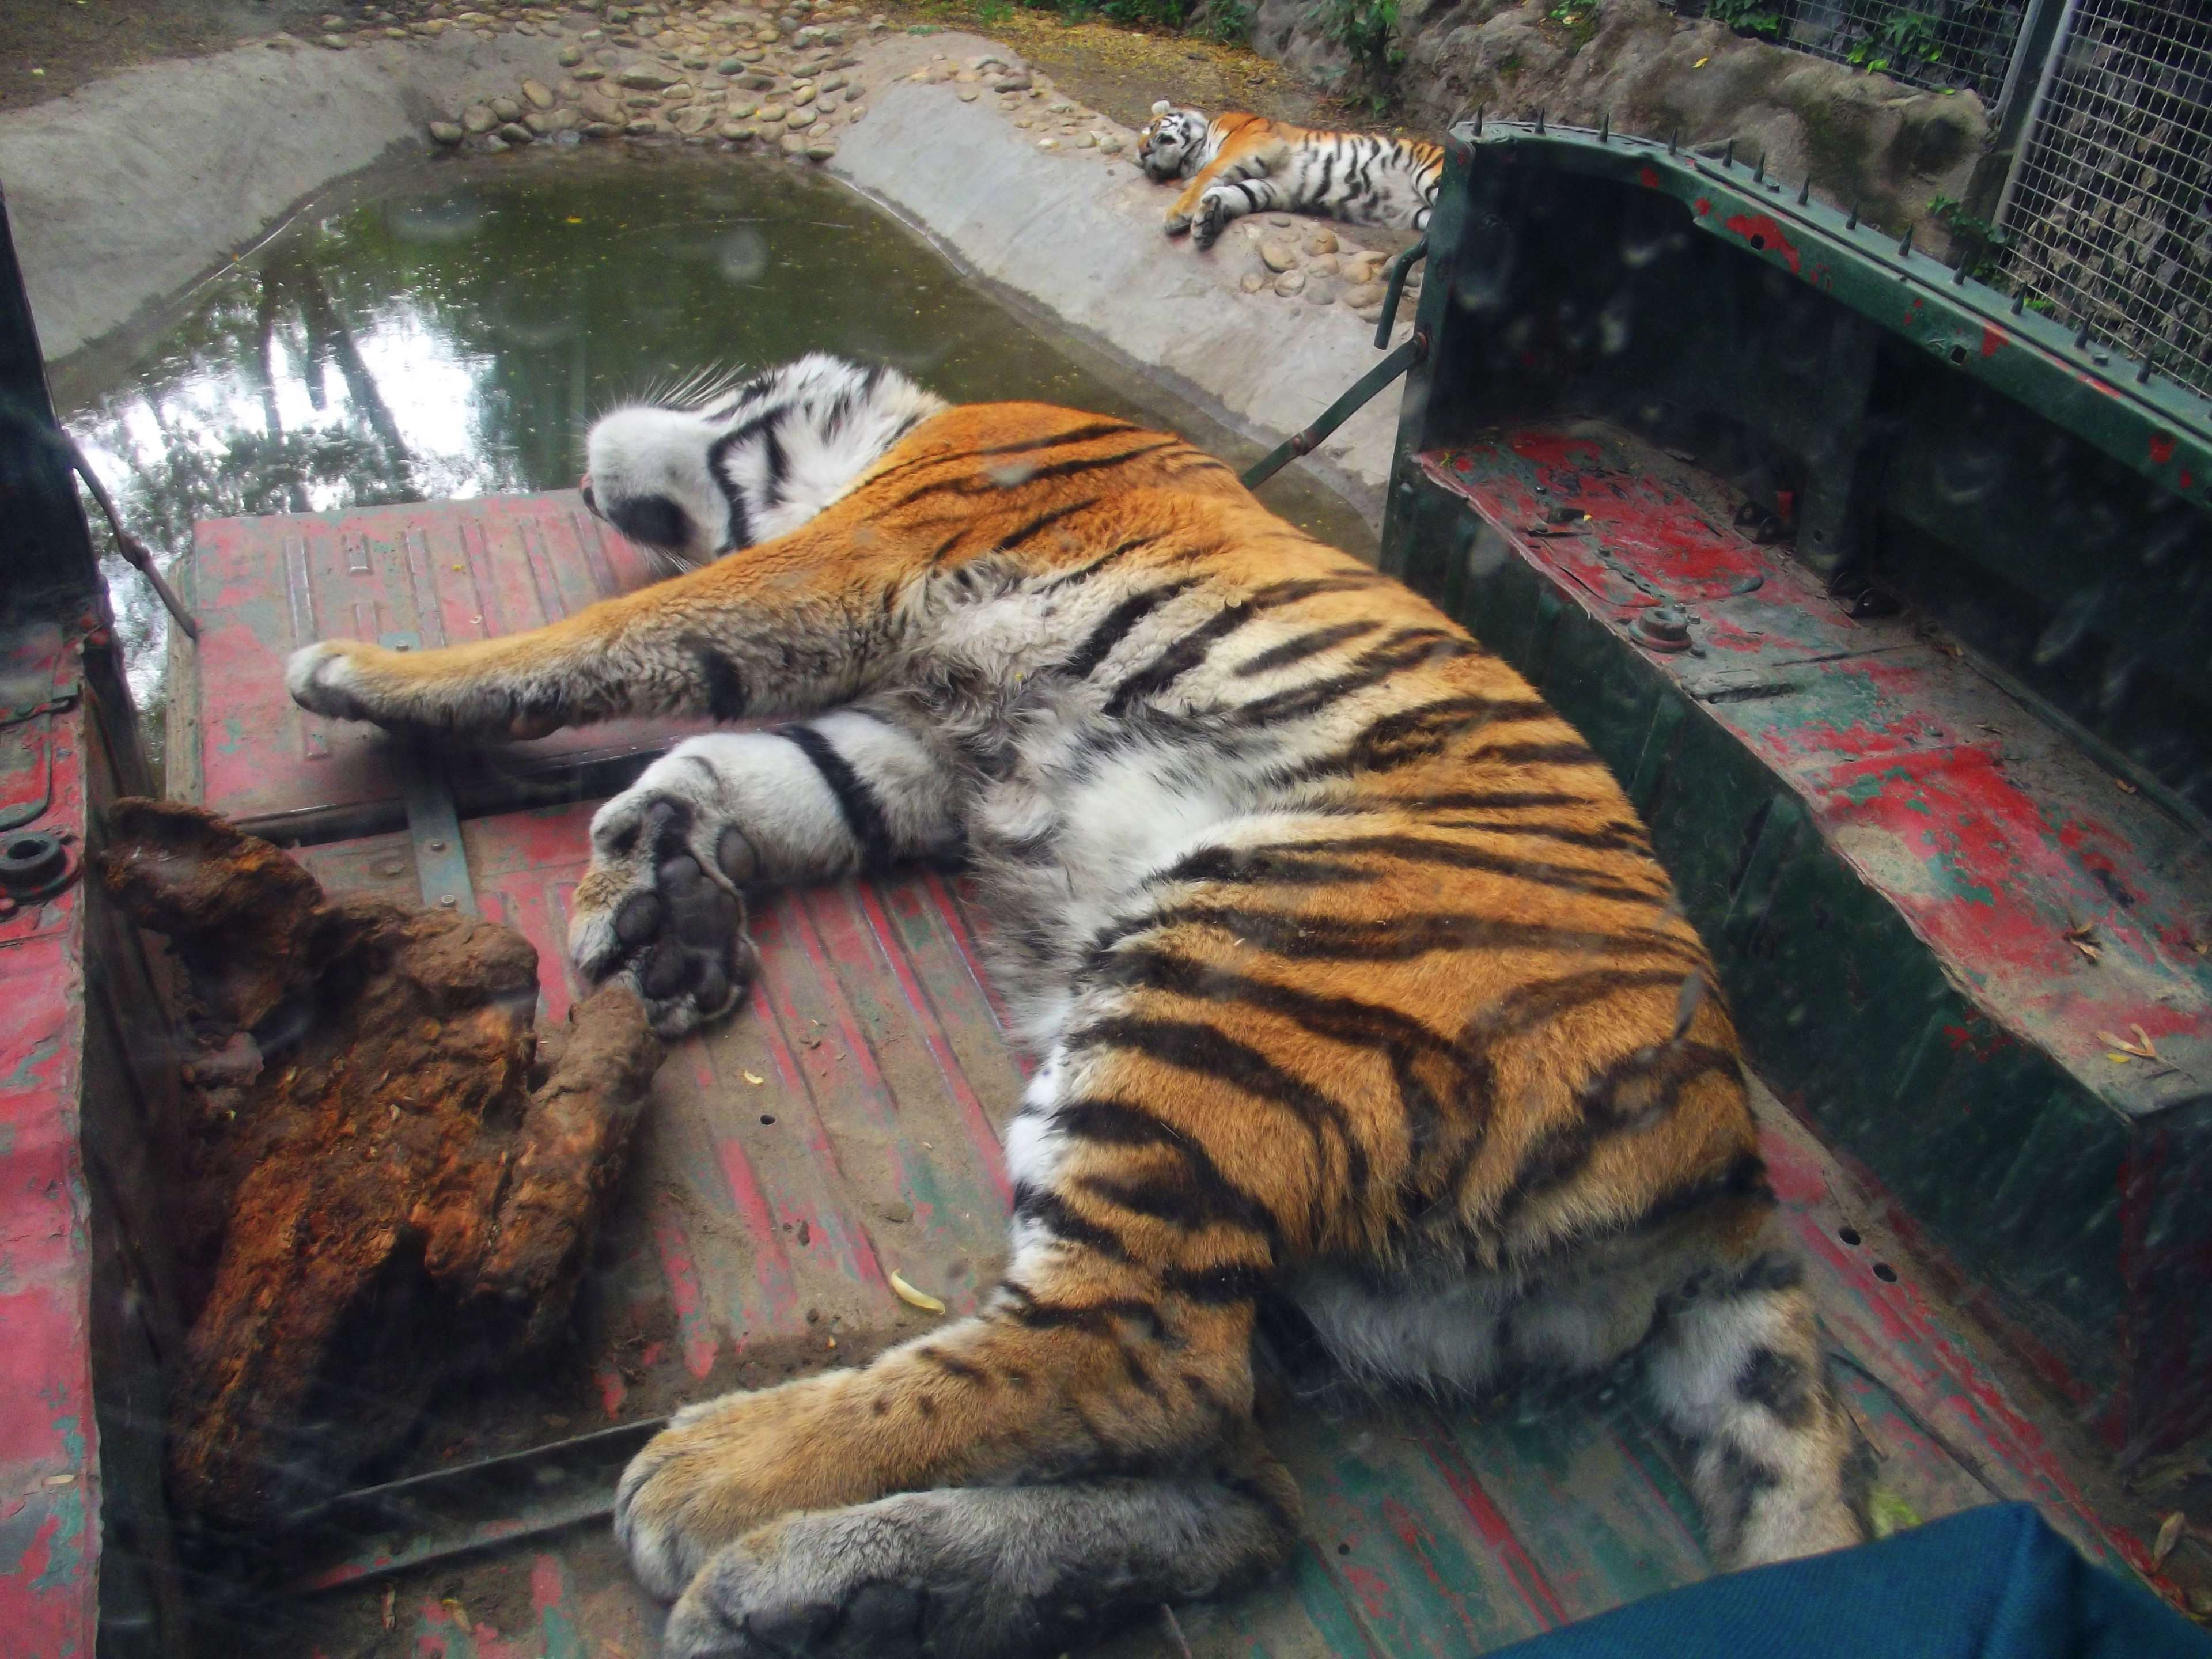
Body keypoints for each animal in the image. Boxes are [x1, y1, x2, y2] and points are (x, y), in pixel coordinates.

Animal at [287, 353, 1871, 1659]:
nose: (580, 465)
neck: (902, 429)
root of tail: (1731, 1162)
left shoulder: (855, 564)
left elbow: (623, 630)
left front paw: (363, 671)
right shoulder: (919, 741)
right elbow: (764, 763)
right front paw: (657, 897)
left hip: (1222, 978)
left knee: (1120, 1354)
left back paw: (715, 1484)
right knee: (1240, 1492)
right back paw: (839, 1594)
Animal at [1137, 100, 1445, 251]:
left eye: (1151, 128)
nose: (1142, 153)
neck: (1198, 152)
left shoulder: (1251, 141)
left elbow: (1208, 175)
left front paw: (1176, 215)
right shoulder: (1276, 186)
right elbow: (1238, 193)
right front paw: (1207, 222)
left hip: (1431, 178)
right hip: (1425, 215)